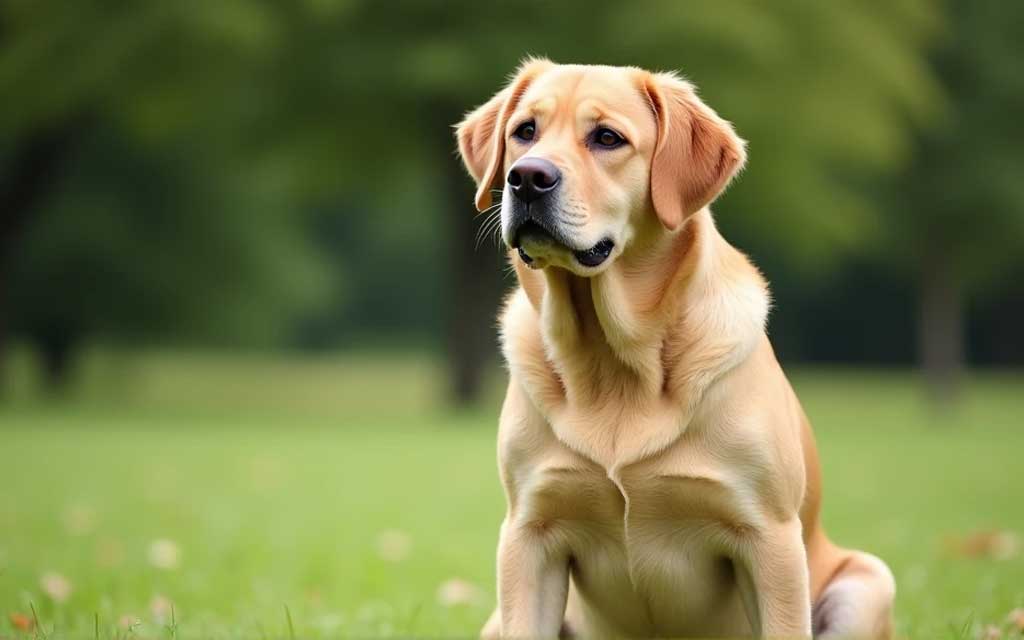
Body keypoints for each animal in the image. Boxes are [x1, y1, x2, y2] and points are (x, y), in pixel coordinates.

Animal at [456, 58, 897, 634]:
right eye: (524, 131)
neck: (613, 359)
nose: (527, 176)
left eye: (607, 137)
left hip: (867, 582)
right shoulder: (529, 534)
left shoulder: (769, 538)